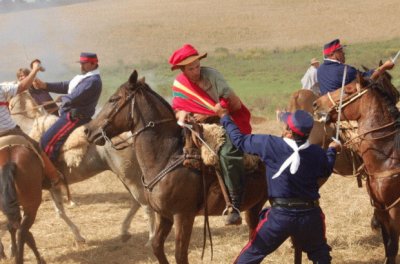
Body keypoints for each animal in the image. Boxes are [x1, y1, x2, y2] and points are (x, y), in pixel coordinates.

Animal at [85, 70, 272, 264]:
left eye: (114, 99)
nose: (88, 130)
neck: (166, 157)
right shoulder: (164, 215)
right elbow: (156, 246)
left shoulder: (183, 216)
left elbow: (180, 255)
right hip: (253, 207)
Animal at [314, 72, 400, 264]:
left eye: (348, 90)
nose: (316, 103)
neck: (388, 154)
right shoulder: (382, 209)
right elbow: (389, 247)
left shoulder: (393, 209)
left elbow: (392, 247)